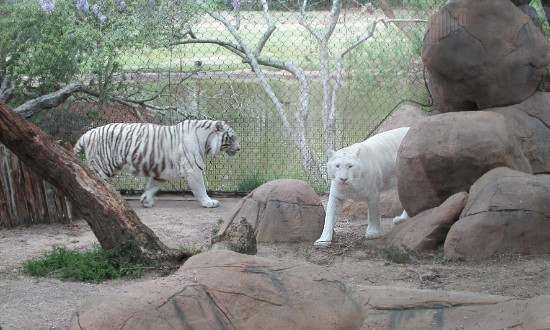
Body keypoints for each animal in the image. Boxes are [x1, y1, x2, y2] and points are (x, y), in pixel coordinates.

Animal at [75, 120, 242, 208]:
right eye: (232, 138)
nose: (239, 148)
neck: (207, 141)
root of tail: (88, 133)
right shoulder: (193, 169)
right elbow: (200, 188)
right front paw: (208, 202)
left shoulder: (161, 172)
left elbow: (151, 187)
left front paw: (146, 201)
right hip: (102, 166)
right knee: (89, 183)